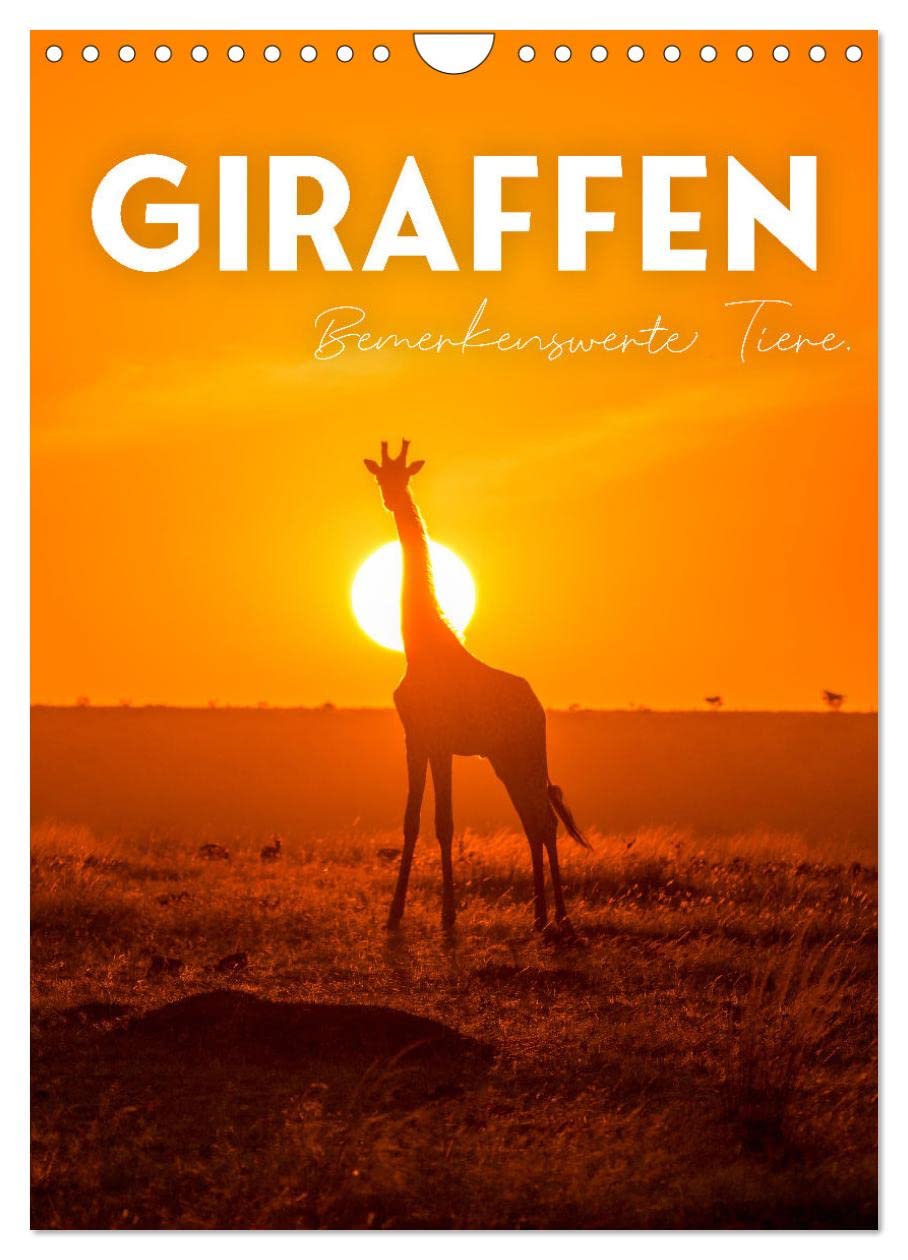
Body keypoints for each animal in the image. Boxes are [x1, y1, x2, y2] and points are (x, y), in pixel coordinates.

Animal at [363, 440, 590, 935]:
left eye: (405, 475)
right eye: (379, 476)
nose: (391, 499)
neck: (420, 647)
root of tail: (537, 707)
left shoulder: (442, 743)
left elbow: (444, 822)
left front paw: (449, 915)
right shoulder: (415, 739)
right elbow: (411, 821)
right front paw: (394, 915)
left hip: (526, 753)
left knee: (544, 820)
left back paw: (560, 918)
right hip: (504, 759)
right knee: (533, 821)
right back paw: (540, 916)